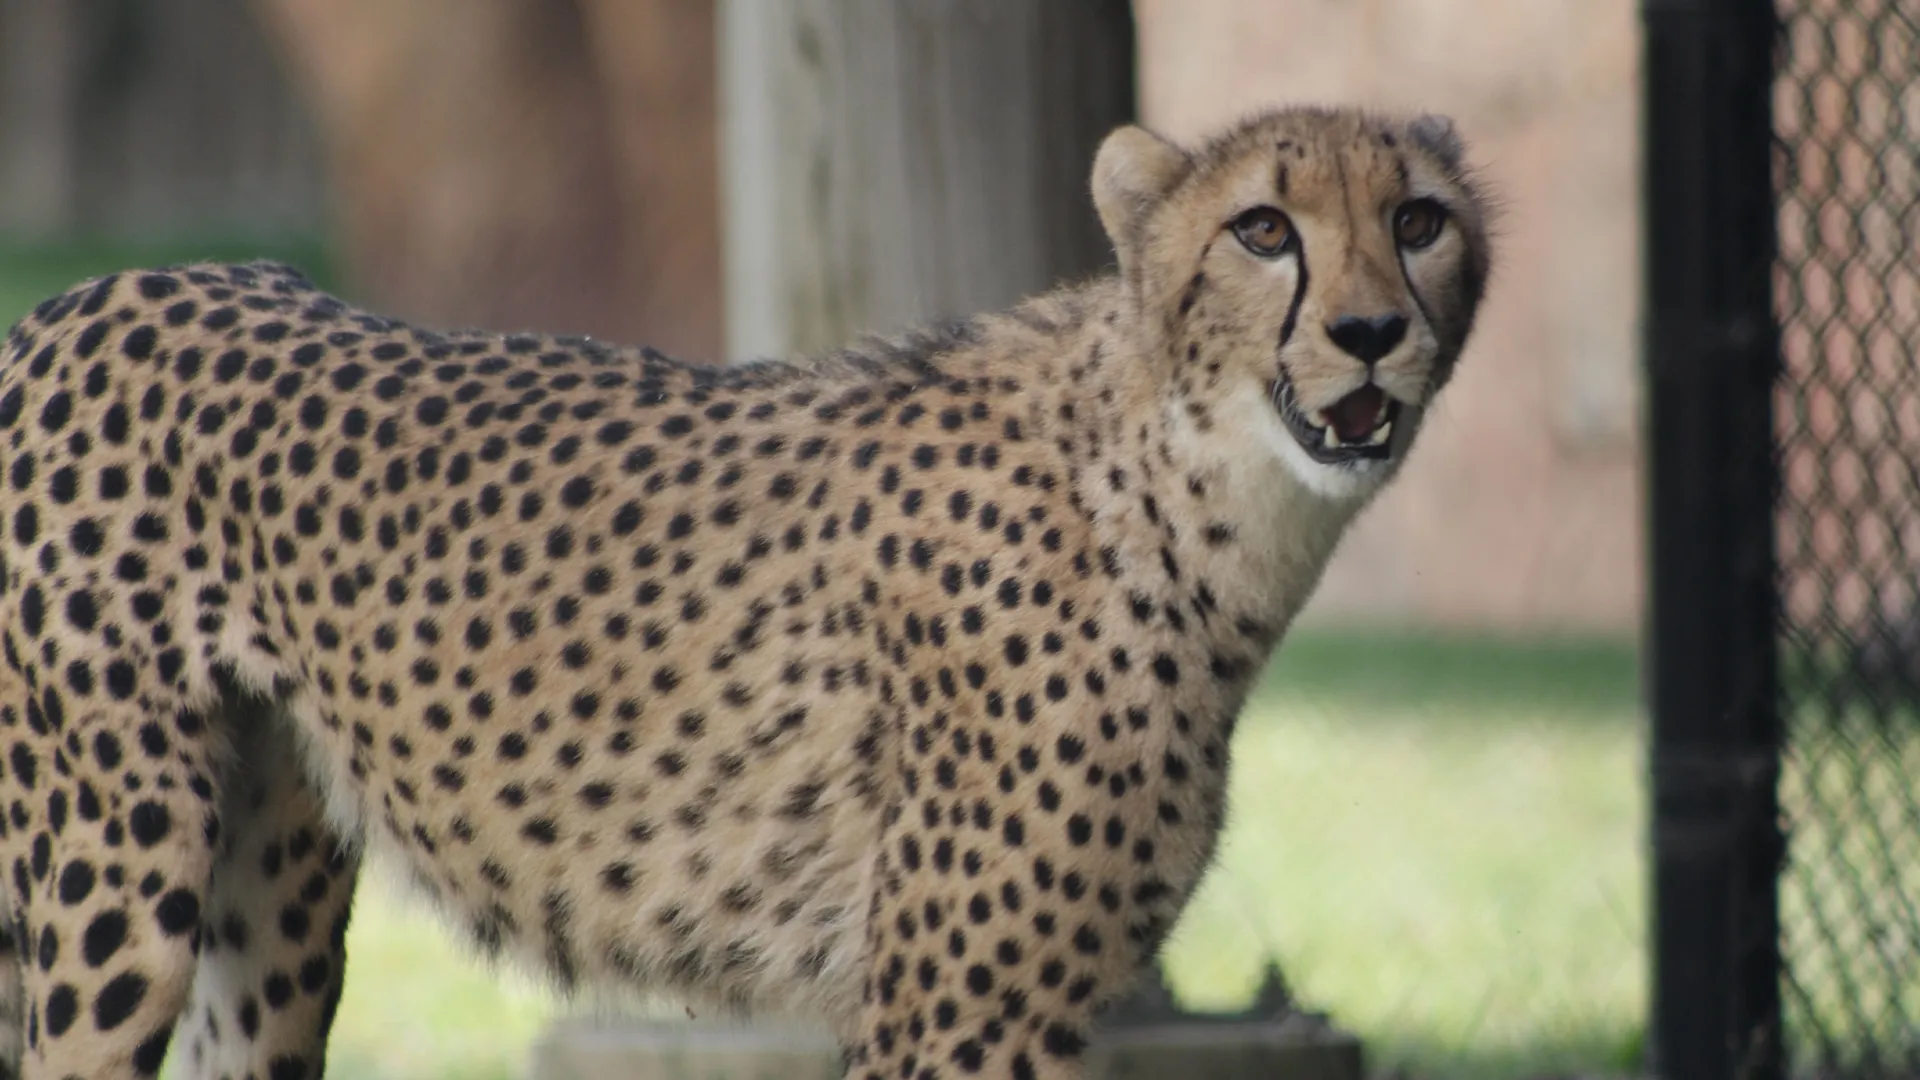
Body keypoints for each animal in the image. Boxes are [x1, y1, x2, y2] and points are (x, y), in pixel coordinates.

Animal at [0, 103, 1491, 1080]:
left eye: (1418, 221)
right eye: (1263, 229)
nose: (1371, 332)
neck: (1187, 493)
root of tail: (85, 296)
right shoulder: (963, 1021)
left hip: (274, 902)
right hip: (110, 880)